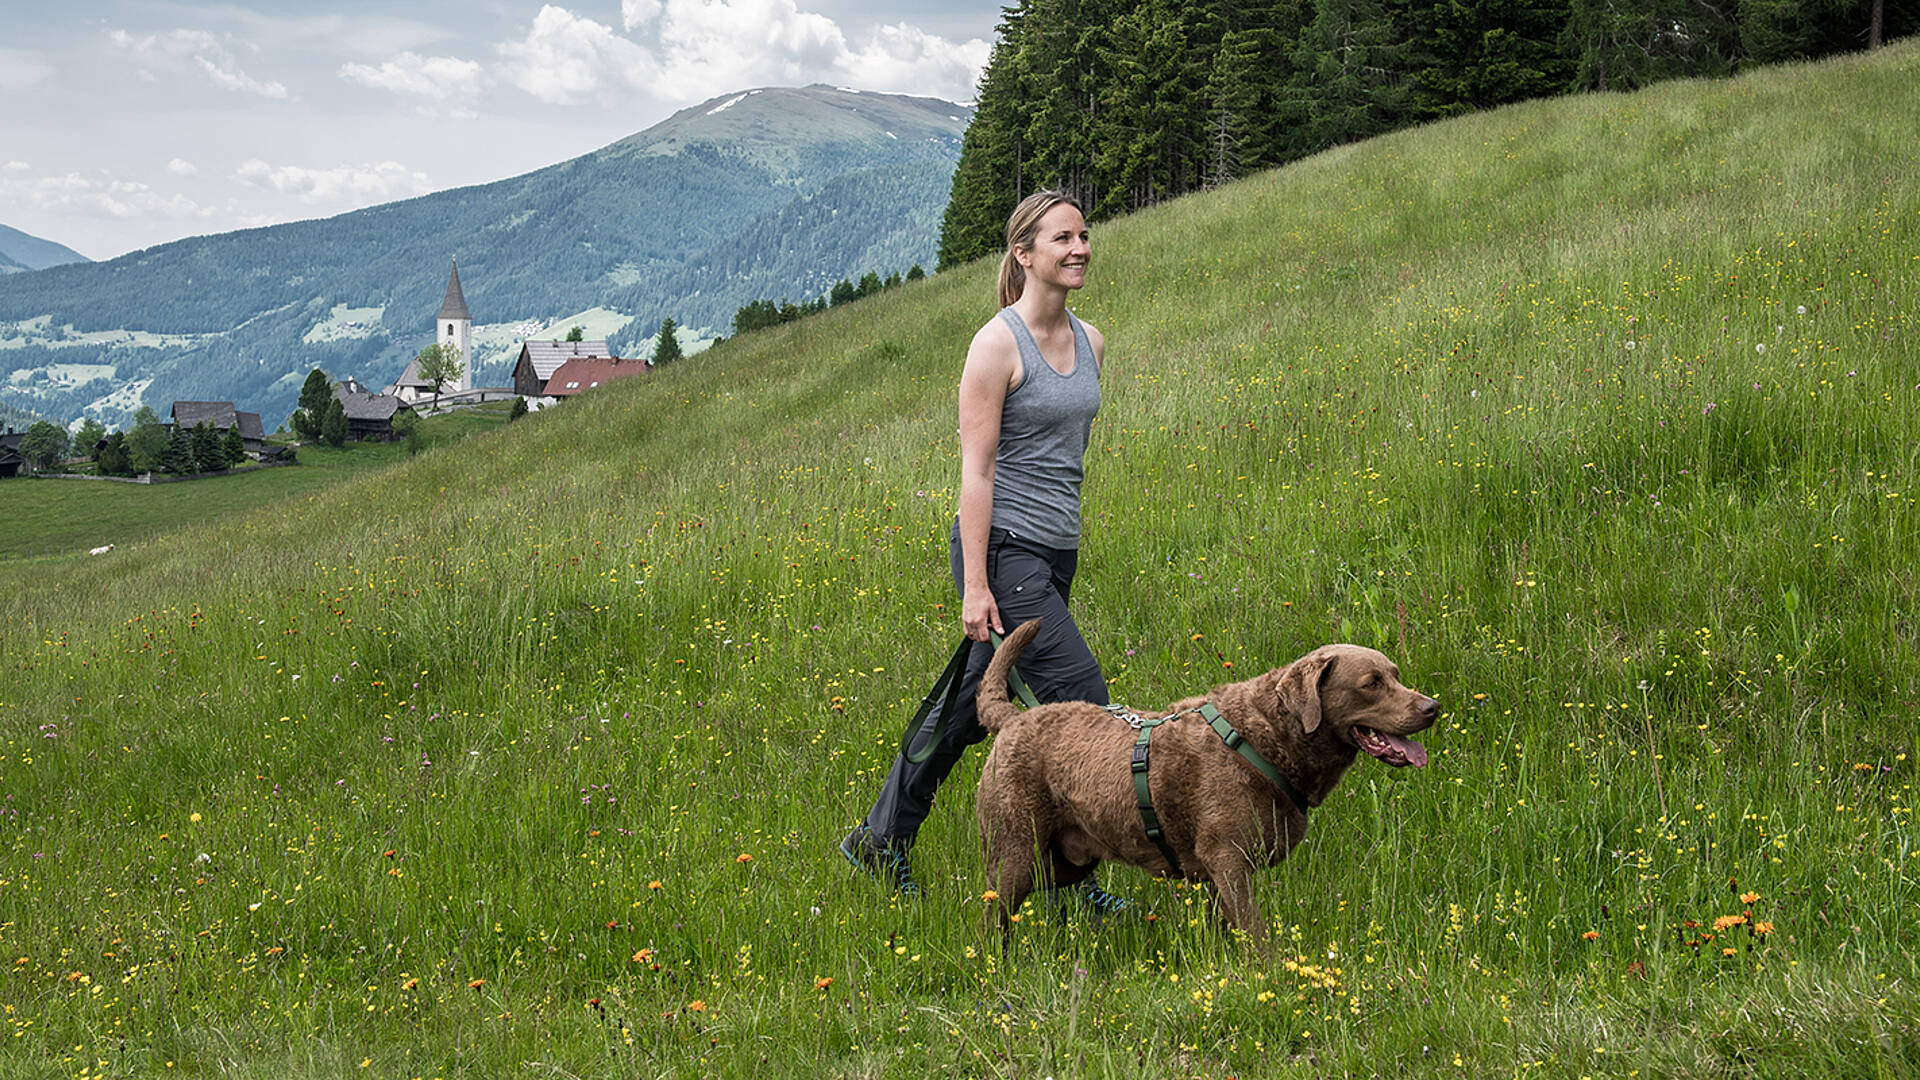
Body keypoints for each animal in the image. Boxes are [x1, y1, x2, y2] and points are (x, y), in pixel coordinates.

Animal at [983, 622, 1436, 933]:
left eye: (1395, 675)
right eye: (1371, 684)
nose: (1431, 707)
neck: (1265, 738)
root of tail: (1013, 718)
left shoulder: (1220, 873)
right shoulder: (1228, 858)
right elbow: (1255, 930)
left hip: (1065, 857)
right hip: (1017, 846)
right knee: (993, 909)